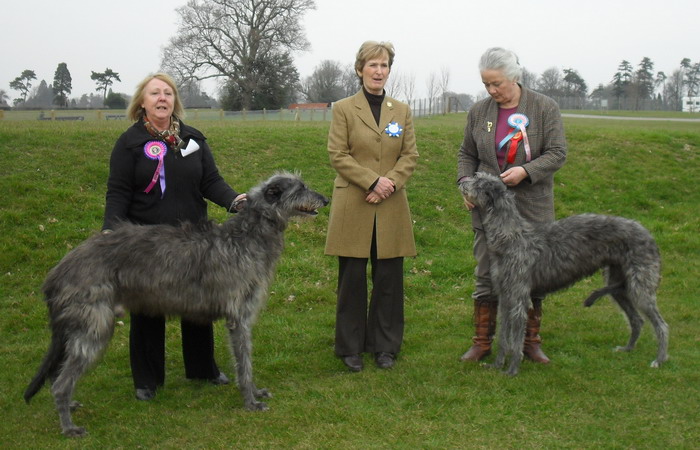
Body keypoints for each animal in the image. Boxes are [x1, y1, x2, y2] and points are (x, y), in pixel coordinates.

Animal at [22, 171, 328, 436]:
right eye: (300, 187)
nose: (325, 199)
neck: (248, 236)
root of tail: (57, 272)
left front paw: (255, 393)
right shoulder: (239, 317)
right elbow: (245, 363)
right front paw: (250, 401)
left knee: (58, 375)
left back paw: (69, 406)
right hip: (93, 326)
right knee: (61, 382)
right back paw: (68, 427)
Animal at [462, 172, 668, 376]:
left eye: (479, 183)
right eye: (476, 177)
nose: (462, 183)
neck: (511, 236)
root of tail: (649, 234)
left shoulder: (519, 297)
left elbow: (516, 339)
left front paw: (512, 370)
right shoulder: (505, 296)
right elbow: (503, 336)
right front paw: (497, 365)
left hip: (640, 287)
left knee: (662, 325)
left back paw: (659, 360)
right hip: (619, 286)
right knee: (637, 320)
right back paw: (628, 349)